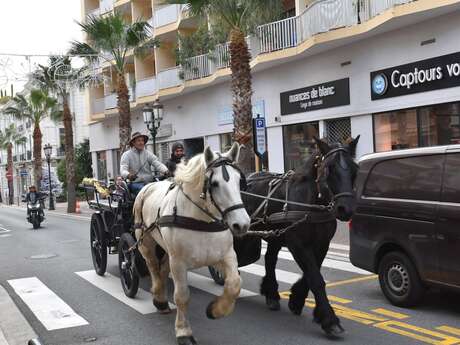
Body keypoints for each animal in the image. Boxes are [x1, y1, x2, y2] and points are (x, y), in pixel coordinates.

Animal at [133, 142, 250, 344]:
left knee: (162, 268)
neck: (201, 220)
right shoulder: (179, 263)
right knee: (153, 266)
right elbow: (182, 296)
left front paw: (216, 310)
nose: (241, 224)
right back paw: (159, 298)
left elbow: (235, 284)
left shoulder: (225, 256)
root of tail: (149, 185)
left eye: (239, 181)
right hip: (145, 242)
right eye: (215, 183)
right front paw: (183, 331)